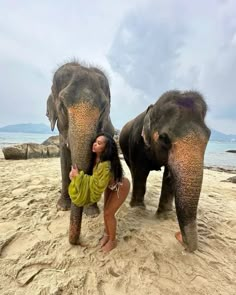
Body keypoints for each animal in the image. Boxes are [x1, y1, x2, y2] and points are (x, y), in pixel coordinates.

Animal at [46, 61, 114, 245]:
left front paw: (92, 213)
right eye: (62, 106)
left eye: (104, 108)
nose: (75, 241)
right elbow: (64, 160)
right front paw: (62, 207)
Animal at [119, 90, 211, 252]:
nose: (179, 237)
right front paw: (138, 209)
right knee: (134, 171)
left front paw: (165, 215)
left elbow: (169, 176)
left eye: (209, 136)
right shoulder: (137, 143)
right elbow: (141, 172)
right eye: (164, 138)